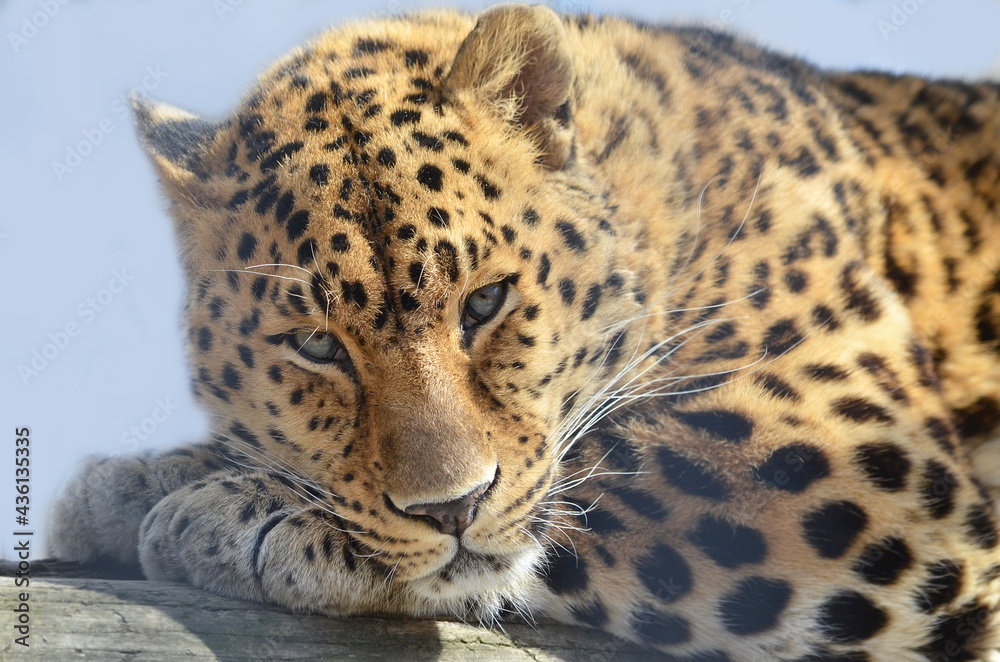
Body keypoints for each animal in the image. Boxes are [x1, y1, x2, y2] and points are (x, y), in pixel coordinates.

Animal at [48, 4, 1000, 660]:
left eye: (486, 302)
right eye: (316, 345)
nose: (451, 507)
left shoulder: (859, 451)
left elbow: (624, 465)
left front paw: (235, 516)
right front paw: (138, 484)